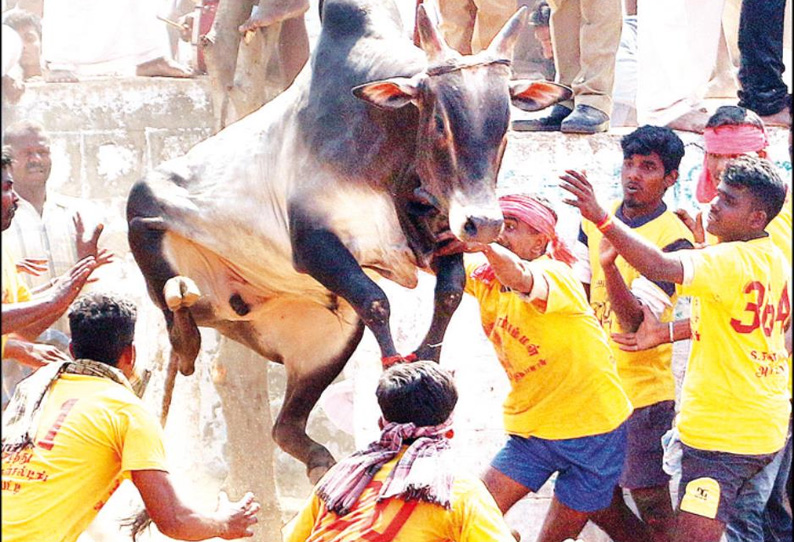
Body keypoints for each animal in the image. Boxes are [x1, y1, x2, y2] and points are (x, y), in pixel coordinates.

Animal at [125, 0, 568, 482]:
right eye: (438, 123)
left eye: (505, 126)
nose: (484, 224)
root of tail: (229, 316)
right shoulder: (315, 244)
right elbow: (376, 300)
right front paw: (395, 371)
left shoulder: (443, 238)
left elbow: (448, 293)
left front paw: (424, 359)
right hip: (143, 209)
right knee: (172, 310)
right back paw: (184, 327)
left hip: (329, 342)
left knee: (285, 428)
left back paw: (320, 460)